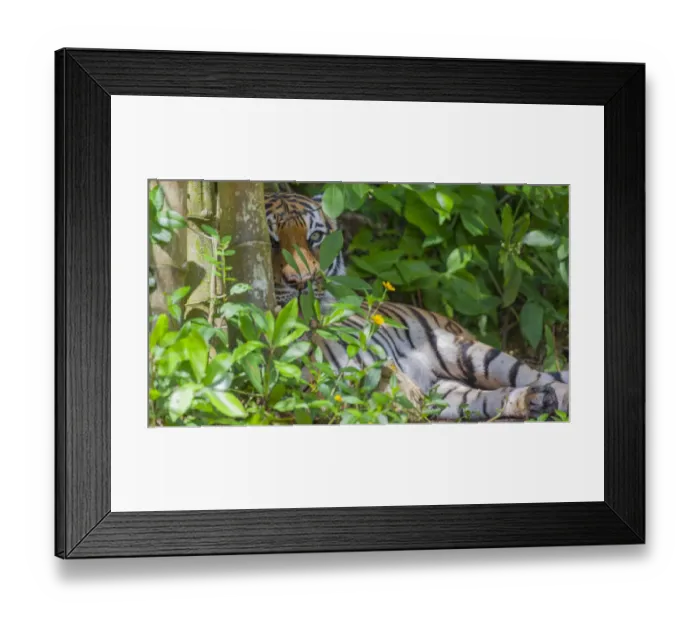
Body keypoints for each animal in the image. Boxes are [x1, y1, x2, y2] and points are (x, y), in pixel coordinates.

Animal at [265, 192, 569, 421]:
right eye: (270, 241)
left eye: (315, 238)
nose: (302, 281)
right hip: (446, 389)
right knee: (486, 397)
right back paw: (535, 400)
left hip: (473, 353)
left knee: (542, 378)